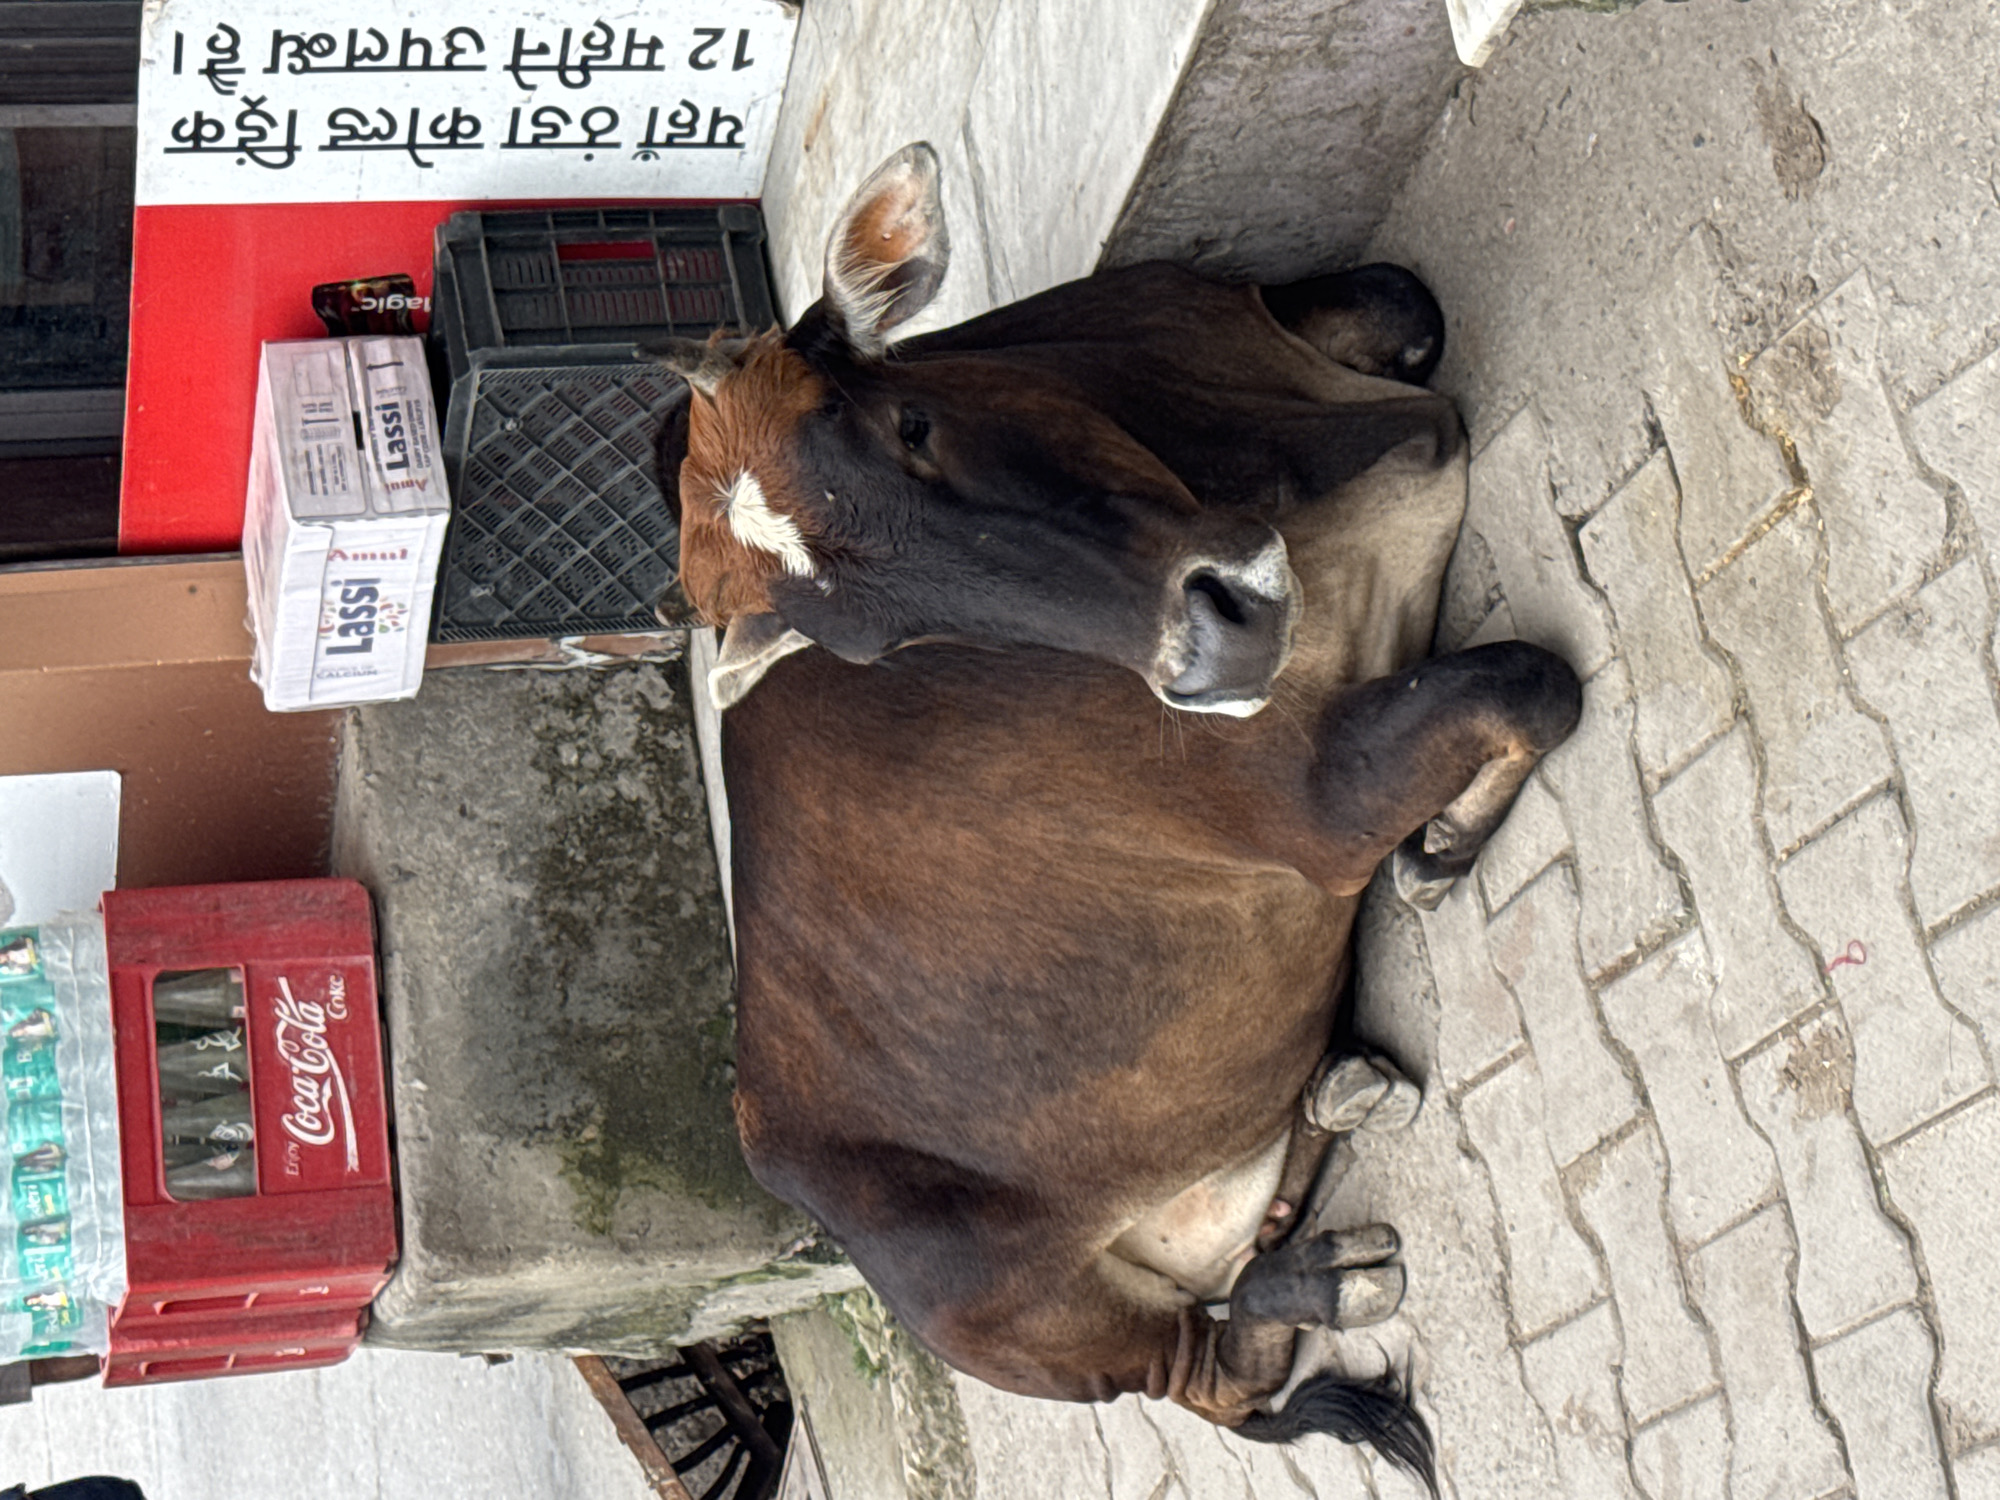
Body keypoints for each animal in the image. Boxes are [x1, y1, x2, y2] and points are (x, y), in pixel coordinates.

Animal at [647, 145, 1580, 1494]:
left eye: (907, 425)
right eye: (883, 642)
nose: (1215, 645)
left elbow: (1405, 300)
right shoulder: (1320, 801)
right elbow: (1530, 681)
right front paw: (1445, 842)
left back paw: (1337, 1105)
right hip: (1024, 1322)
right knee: (1212, 1378)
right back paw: (1333, 1274)